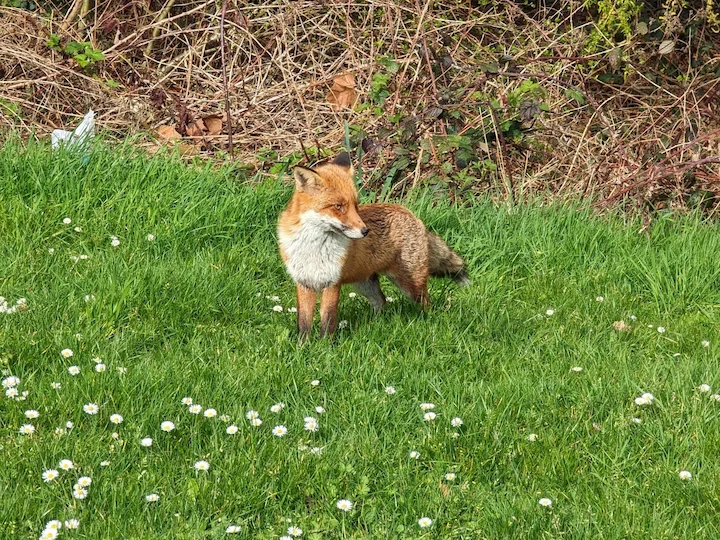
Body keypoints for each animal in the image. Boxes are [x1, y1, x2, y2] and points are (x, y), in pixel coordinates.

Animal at [277, 152, 469, 337]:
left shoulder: (332, 283)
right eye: (338, 206)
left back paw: (427, 323)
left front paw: (325, 344)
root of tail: (412, 215)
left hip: (410, 283)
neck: (313, 247)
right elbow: (303, 323)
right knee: (381, 301)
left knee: (426, 303)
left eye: (356, 205)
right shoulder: (304, 282)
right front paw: (303, 345)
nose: (365, 231)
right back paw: (374, 324)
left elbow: (328, 320)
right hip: (364, 283)